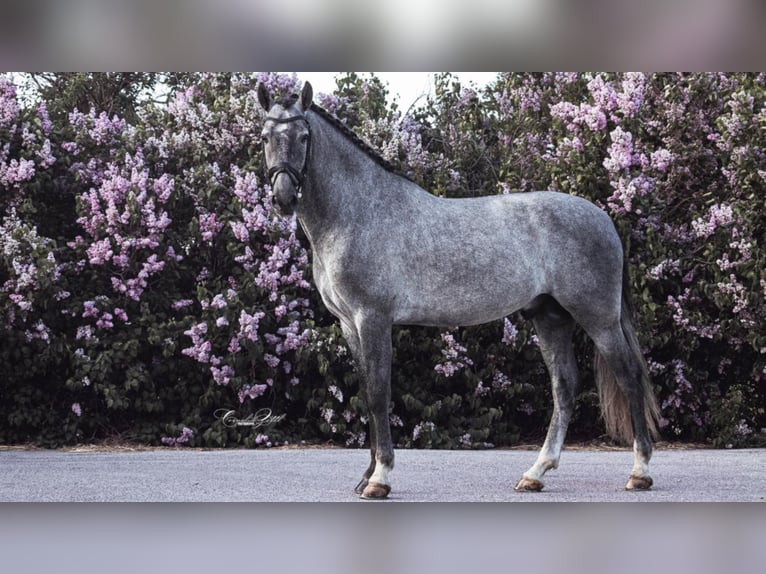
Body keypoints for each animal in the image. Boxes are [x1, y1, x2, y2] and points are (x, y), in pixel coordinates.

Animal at [258, 81, 660, 500]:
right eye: (265, 137)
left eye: (304, 137)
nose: (283, 198)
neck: (359, 213)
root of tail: (604, 219)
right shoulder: (350, 324)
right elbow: (368, 395)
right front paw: (366, 476)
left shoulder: (373, 319)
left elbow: (379, 393)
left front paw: (380, 478)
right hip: (550, 317)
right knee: (564, 387)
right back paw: (535, 474)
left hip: (598, 318)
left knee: (630, 378)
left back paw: (639, 472)